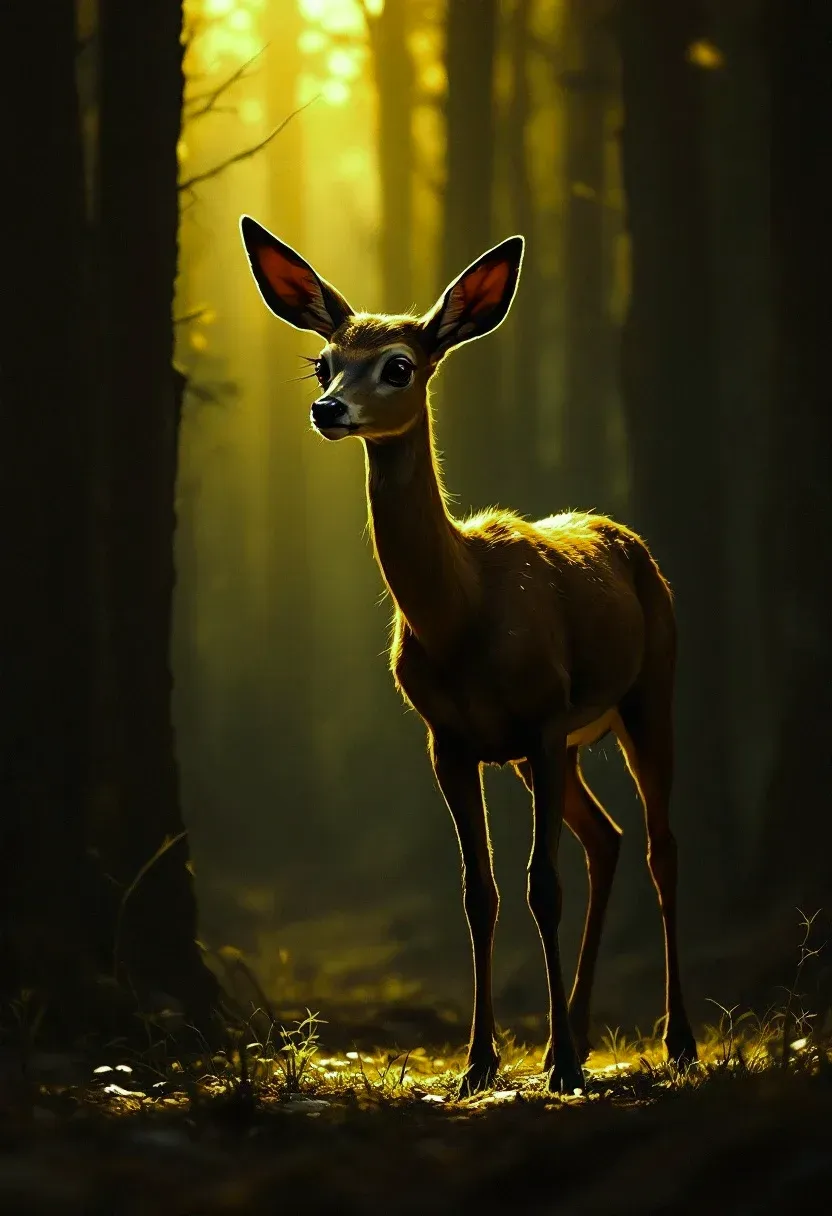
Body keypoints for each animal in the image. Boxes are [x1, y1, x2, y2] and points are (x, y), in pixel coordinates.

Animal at [239, 216, 698, 1096]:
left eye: (398, 364)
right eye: (324, 360)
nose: (327, 408)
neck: (463, 614)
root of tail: (626, 539)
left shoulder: (545, 717)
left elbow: (540, 887)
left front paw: (559, 1067)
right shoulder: (450, 740)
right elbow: (477, 894)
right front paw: (483, 1062)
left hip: (645, 691)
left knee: (661, 847)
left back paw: (676, 1041)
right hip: (548, 751)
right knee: (608, 838)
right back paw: (571, 1036)